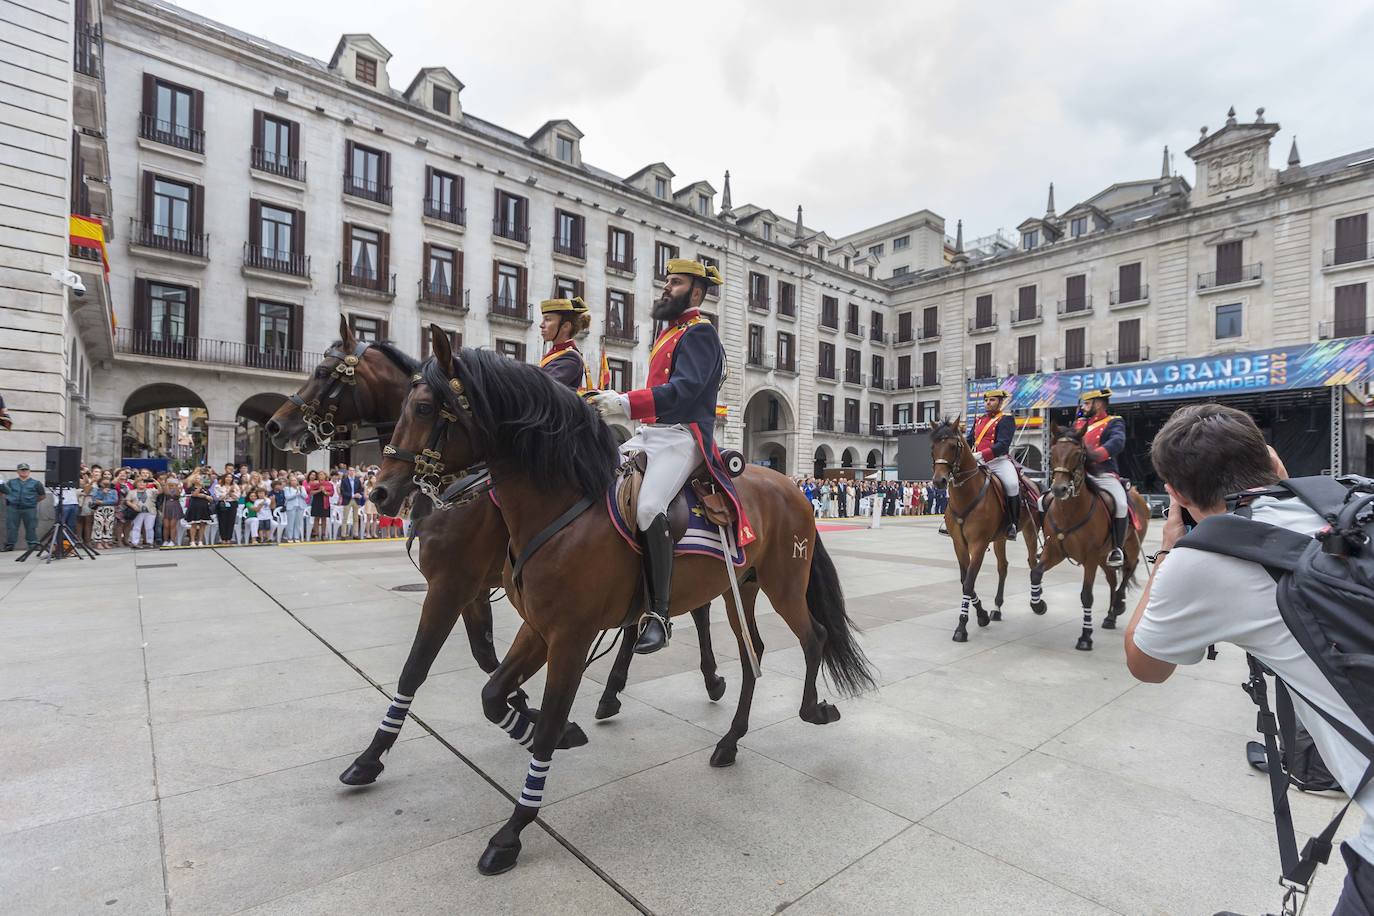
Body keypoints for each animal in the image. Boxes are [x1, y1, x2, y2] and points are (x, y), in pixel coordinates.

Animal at [261, 317, 725, 791]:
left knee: (697, 610)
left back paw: (707, 679)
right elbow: (485, 656)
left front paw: (371, 757)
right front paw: (533, 711)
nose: (276, 427)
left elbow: (416, 667)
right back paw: (614, 693)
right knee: (642, 618)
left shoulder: (451, 585)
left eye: (324, 373)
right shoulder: (472, 589)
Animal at [370, 330, 873, 878]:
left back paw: (812, 710)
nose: (381, 492)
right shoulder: (535, 628)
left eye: (423, 408)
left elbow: (536, 719)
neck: (560, 505)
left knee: (813, 637)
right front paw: (536, 731)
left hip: (784, 583)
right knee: (752, 653)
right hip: (740, 587)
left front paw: (513, 829)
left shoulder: (563, 634)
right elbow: (491, 693)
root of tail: (792, 487)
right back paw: (729, 739)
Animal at [934, 417, 1038, 645]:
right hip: (1000, 538)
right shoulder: (959, 544)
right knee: (1003, 567)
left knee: (1033, 562)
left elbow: (968, 583)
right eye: (933, 446)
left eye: (953, 446)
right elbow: (966, 581)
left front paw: (962, 627)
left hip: (1030, 530)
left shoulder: (979, 544)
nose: (939, 481)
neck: (967, 494)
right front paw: (981, 615)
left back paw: (1038, 602)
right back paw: (997, 608)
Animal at [1033, 425, 1154, 650]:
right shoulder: (1054, 550)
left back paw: (1118, 605)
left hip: (1130, 547)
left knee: (1128, 569)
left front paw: (1085, 637)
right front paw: (1038, 605)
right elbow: (1035, 573)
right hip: (1103, 558)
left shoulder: (1089, 558)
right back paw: (1110, 616)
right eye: (1052, 453)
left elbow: (1086, 595)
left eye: (1078, 454)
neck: (1069, 512)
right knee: (1112, 579)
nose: (1059, 489)